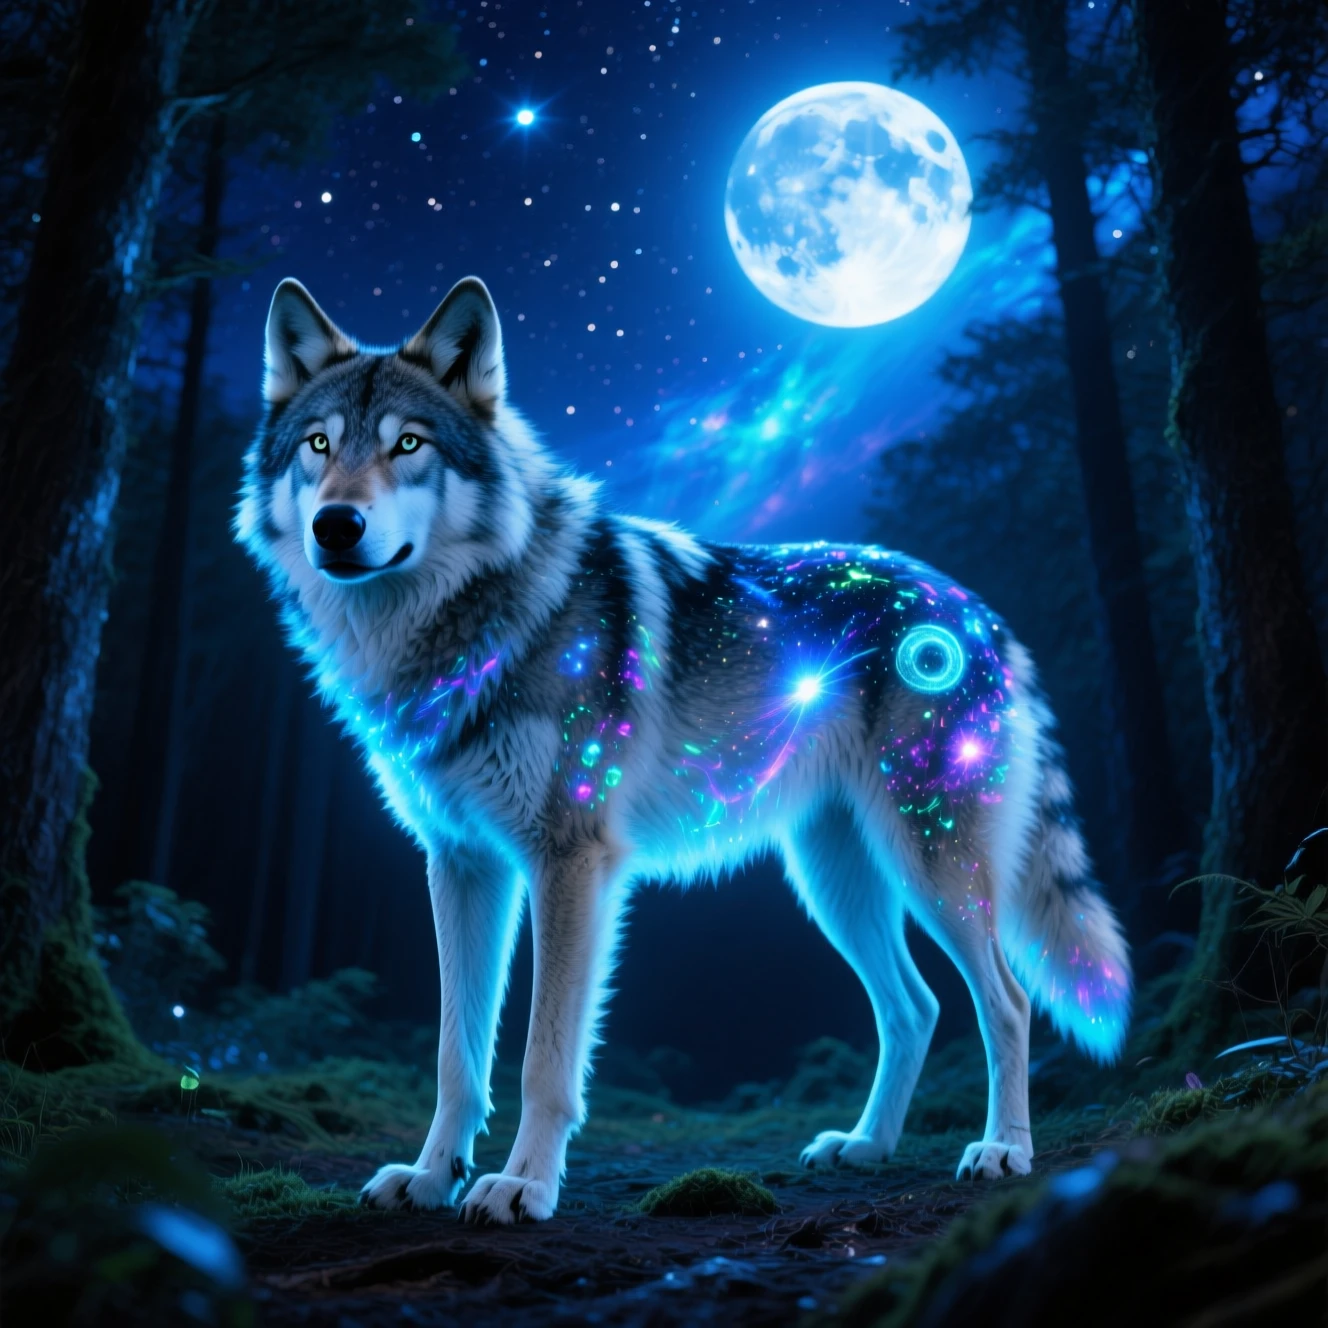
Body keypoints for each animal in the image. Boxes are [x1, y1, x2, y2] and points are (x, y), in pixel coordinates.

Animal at [236, 275, 1131, 1224]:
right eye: (319, 445)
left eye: (408, 444)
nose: (337, 525)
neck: (467, 624)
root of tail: (976, 607)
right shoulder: (460, 864)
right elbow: (455, 1056)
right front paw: (433, 1176)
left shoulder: (570, 862)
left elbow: (545, 1056)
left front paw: (523, 1185)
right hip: (834, 880)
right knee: (914, 1006)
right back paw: (866, 1145)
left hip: (933, 866)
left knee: (1008, 1000)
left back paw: (1003, 1150)